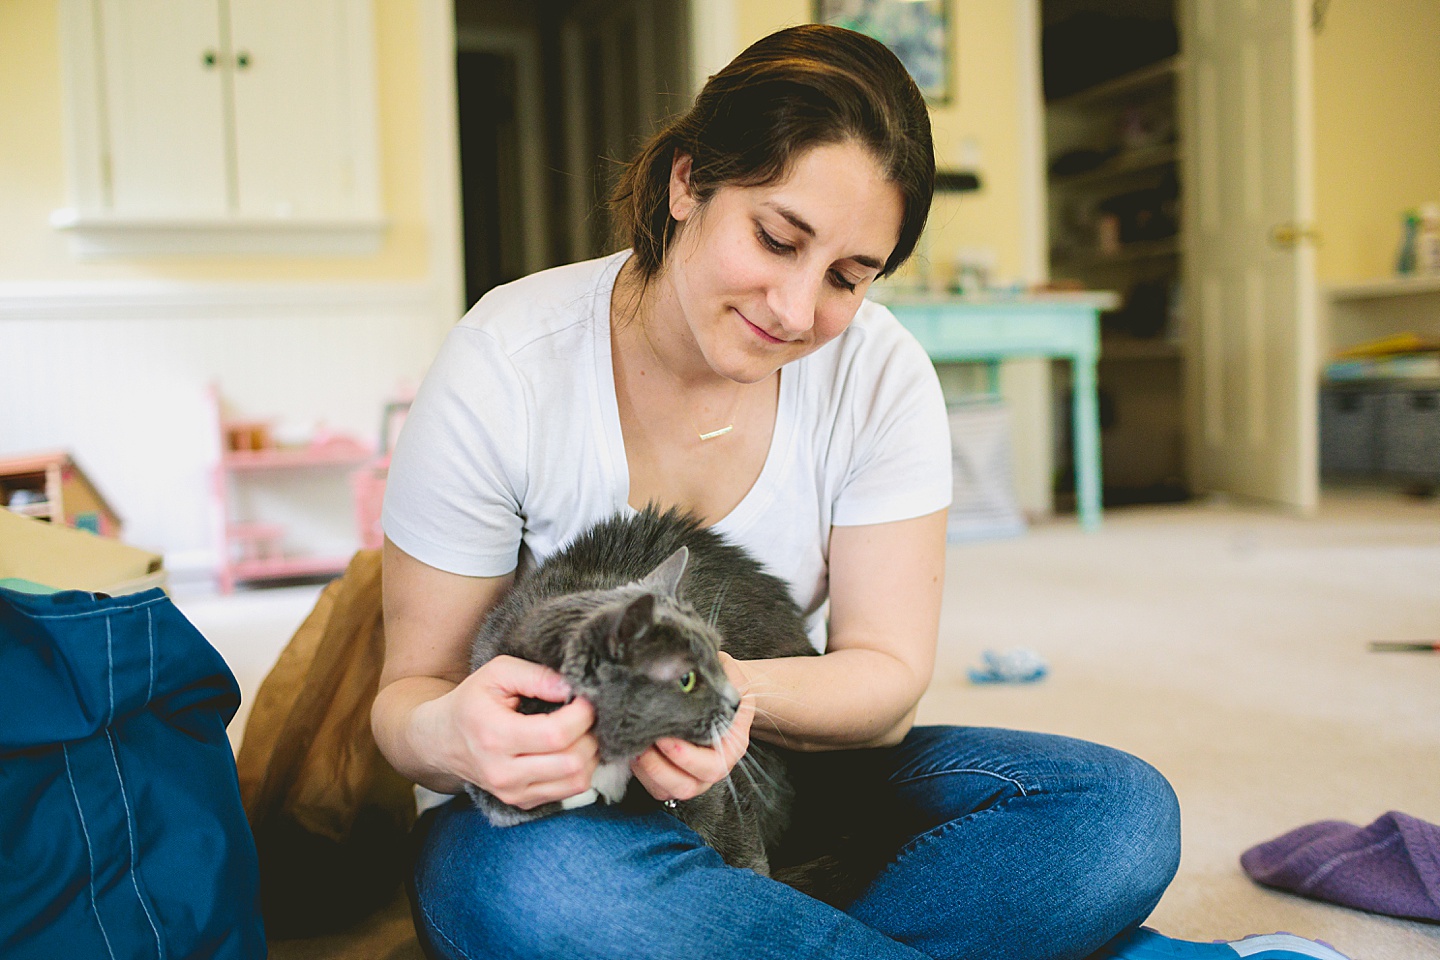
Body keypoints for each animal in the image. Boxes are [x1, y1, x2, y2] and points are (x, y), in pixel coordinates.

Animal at [466, 506, 817, 880]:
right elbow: (499, 802)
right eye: (687, 677)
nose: (737, 700)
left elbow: (737, 844)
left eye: (716, 651)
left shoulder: (722, 788)